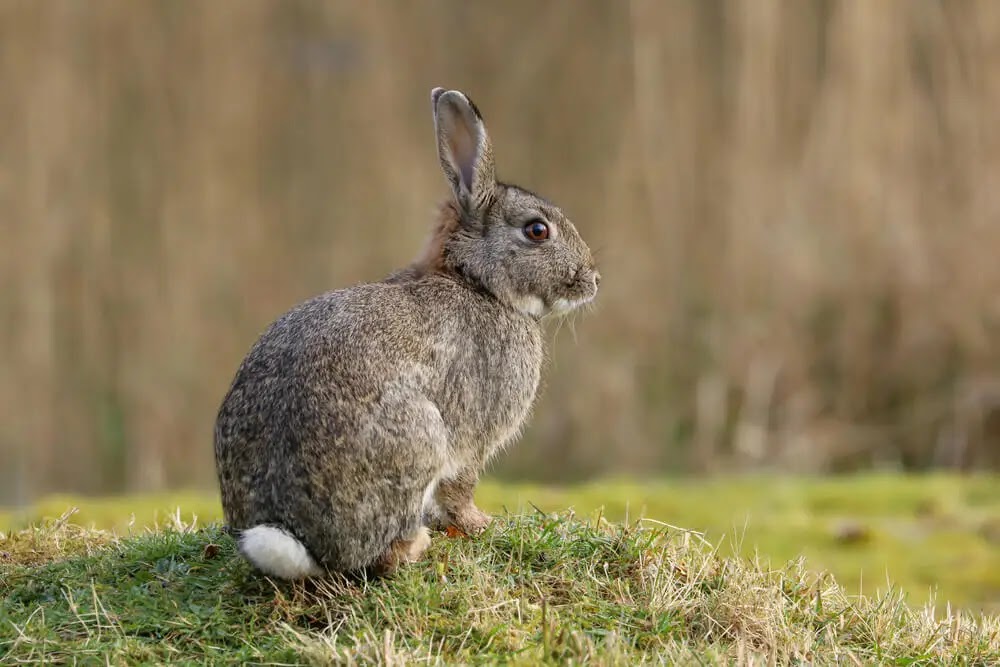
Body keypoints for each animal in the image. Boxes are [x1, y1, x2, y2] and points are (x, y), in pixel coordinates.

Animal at [214, 87, 600, 579]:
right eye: (537, 230)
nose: (593, 280)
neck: (477, 282)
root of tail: (297, 538)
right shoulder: (472, 438)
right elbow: (461, 488)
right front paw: (479, 524)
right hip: (420, 438)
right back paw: (415, 545)